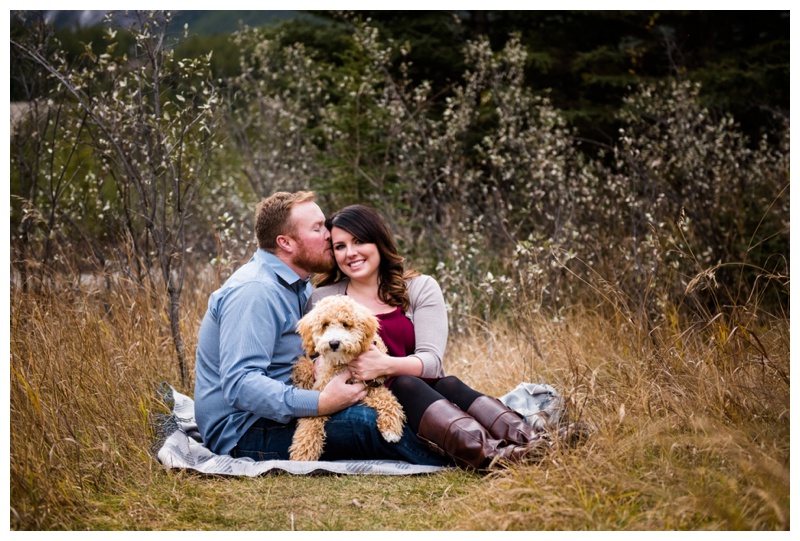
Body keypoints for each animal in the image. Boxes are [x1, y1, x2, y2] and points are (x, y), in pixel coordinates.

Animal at [290, 296, 406, 460]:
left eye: (345, 324)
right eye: (325, 324)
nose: (333, 343)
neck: (345, 362)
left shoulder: (370, 384)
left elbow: (388, 399)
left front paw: (391, 428)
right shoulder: (323, 393)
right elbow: (311, 421)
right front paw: (302, 453)